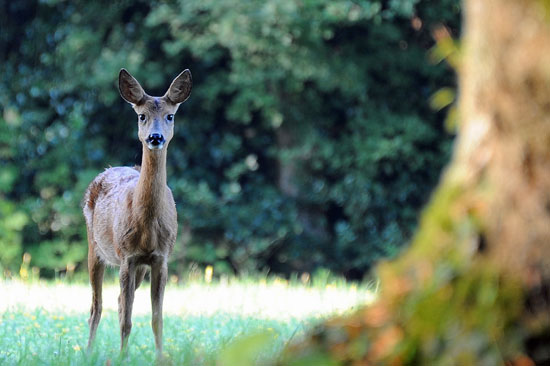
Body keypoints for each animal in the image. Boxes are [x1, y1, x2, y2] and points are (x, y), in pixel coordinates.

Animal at [83, 68, 193, 354]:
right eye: (141, 116)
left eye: (170, 115)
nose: (155, 137)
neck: (148, 224)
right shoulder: (127, 256)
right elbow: (127, 320)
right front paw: (122, 357)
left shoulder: (160, 258)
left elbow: (157, 319)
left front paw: (160, 357)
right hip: (94, 247)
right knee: (97, 306)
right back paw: (88, 352)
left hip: (140, 267)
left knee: (119, 301)